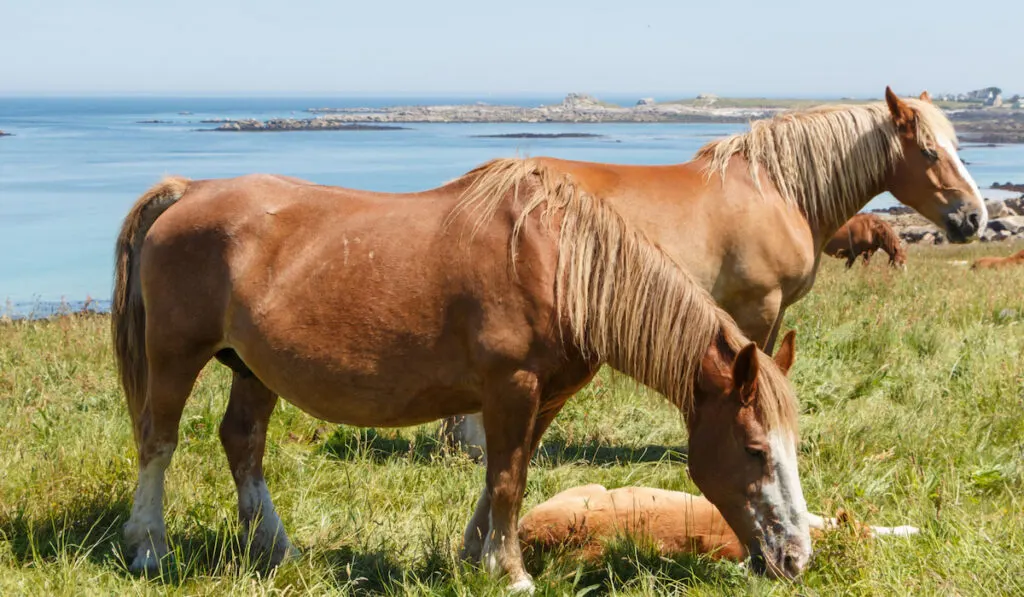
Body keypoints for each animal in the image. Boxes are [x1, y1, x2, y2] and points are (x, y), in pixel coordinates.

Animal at [116, 165, 811, 589]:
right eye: (755, 450)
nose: (795, 558)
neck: (558, 263)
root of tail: (191, 189)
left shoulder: (544, 397)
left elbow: (506, 477)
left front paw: (476, 558)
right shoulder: (512, 387)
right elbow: (506, 480)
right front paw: (513, 573)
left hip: (252, 368)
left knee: (243, 443)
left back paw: (274, 548)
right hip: (175, 356)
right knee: (158, 442)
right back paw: (150, 548)